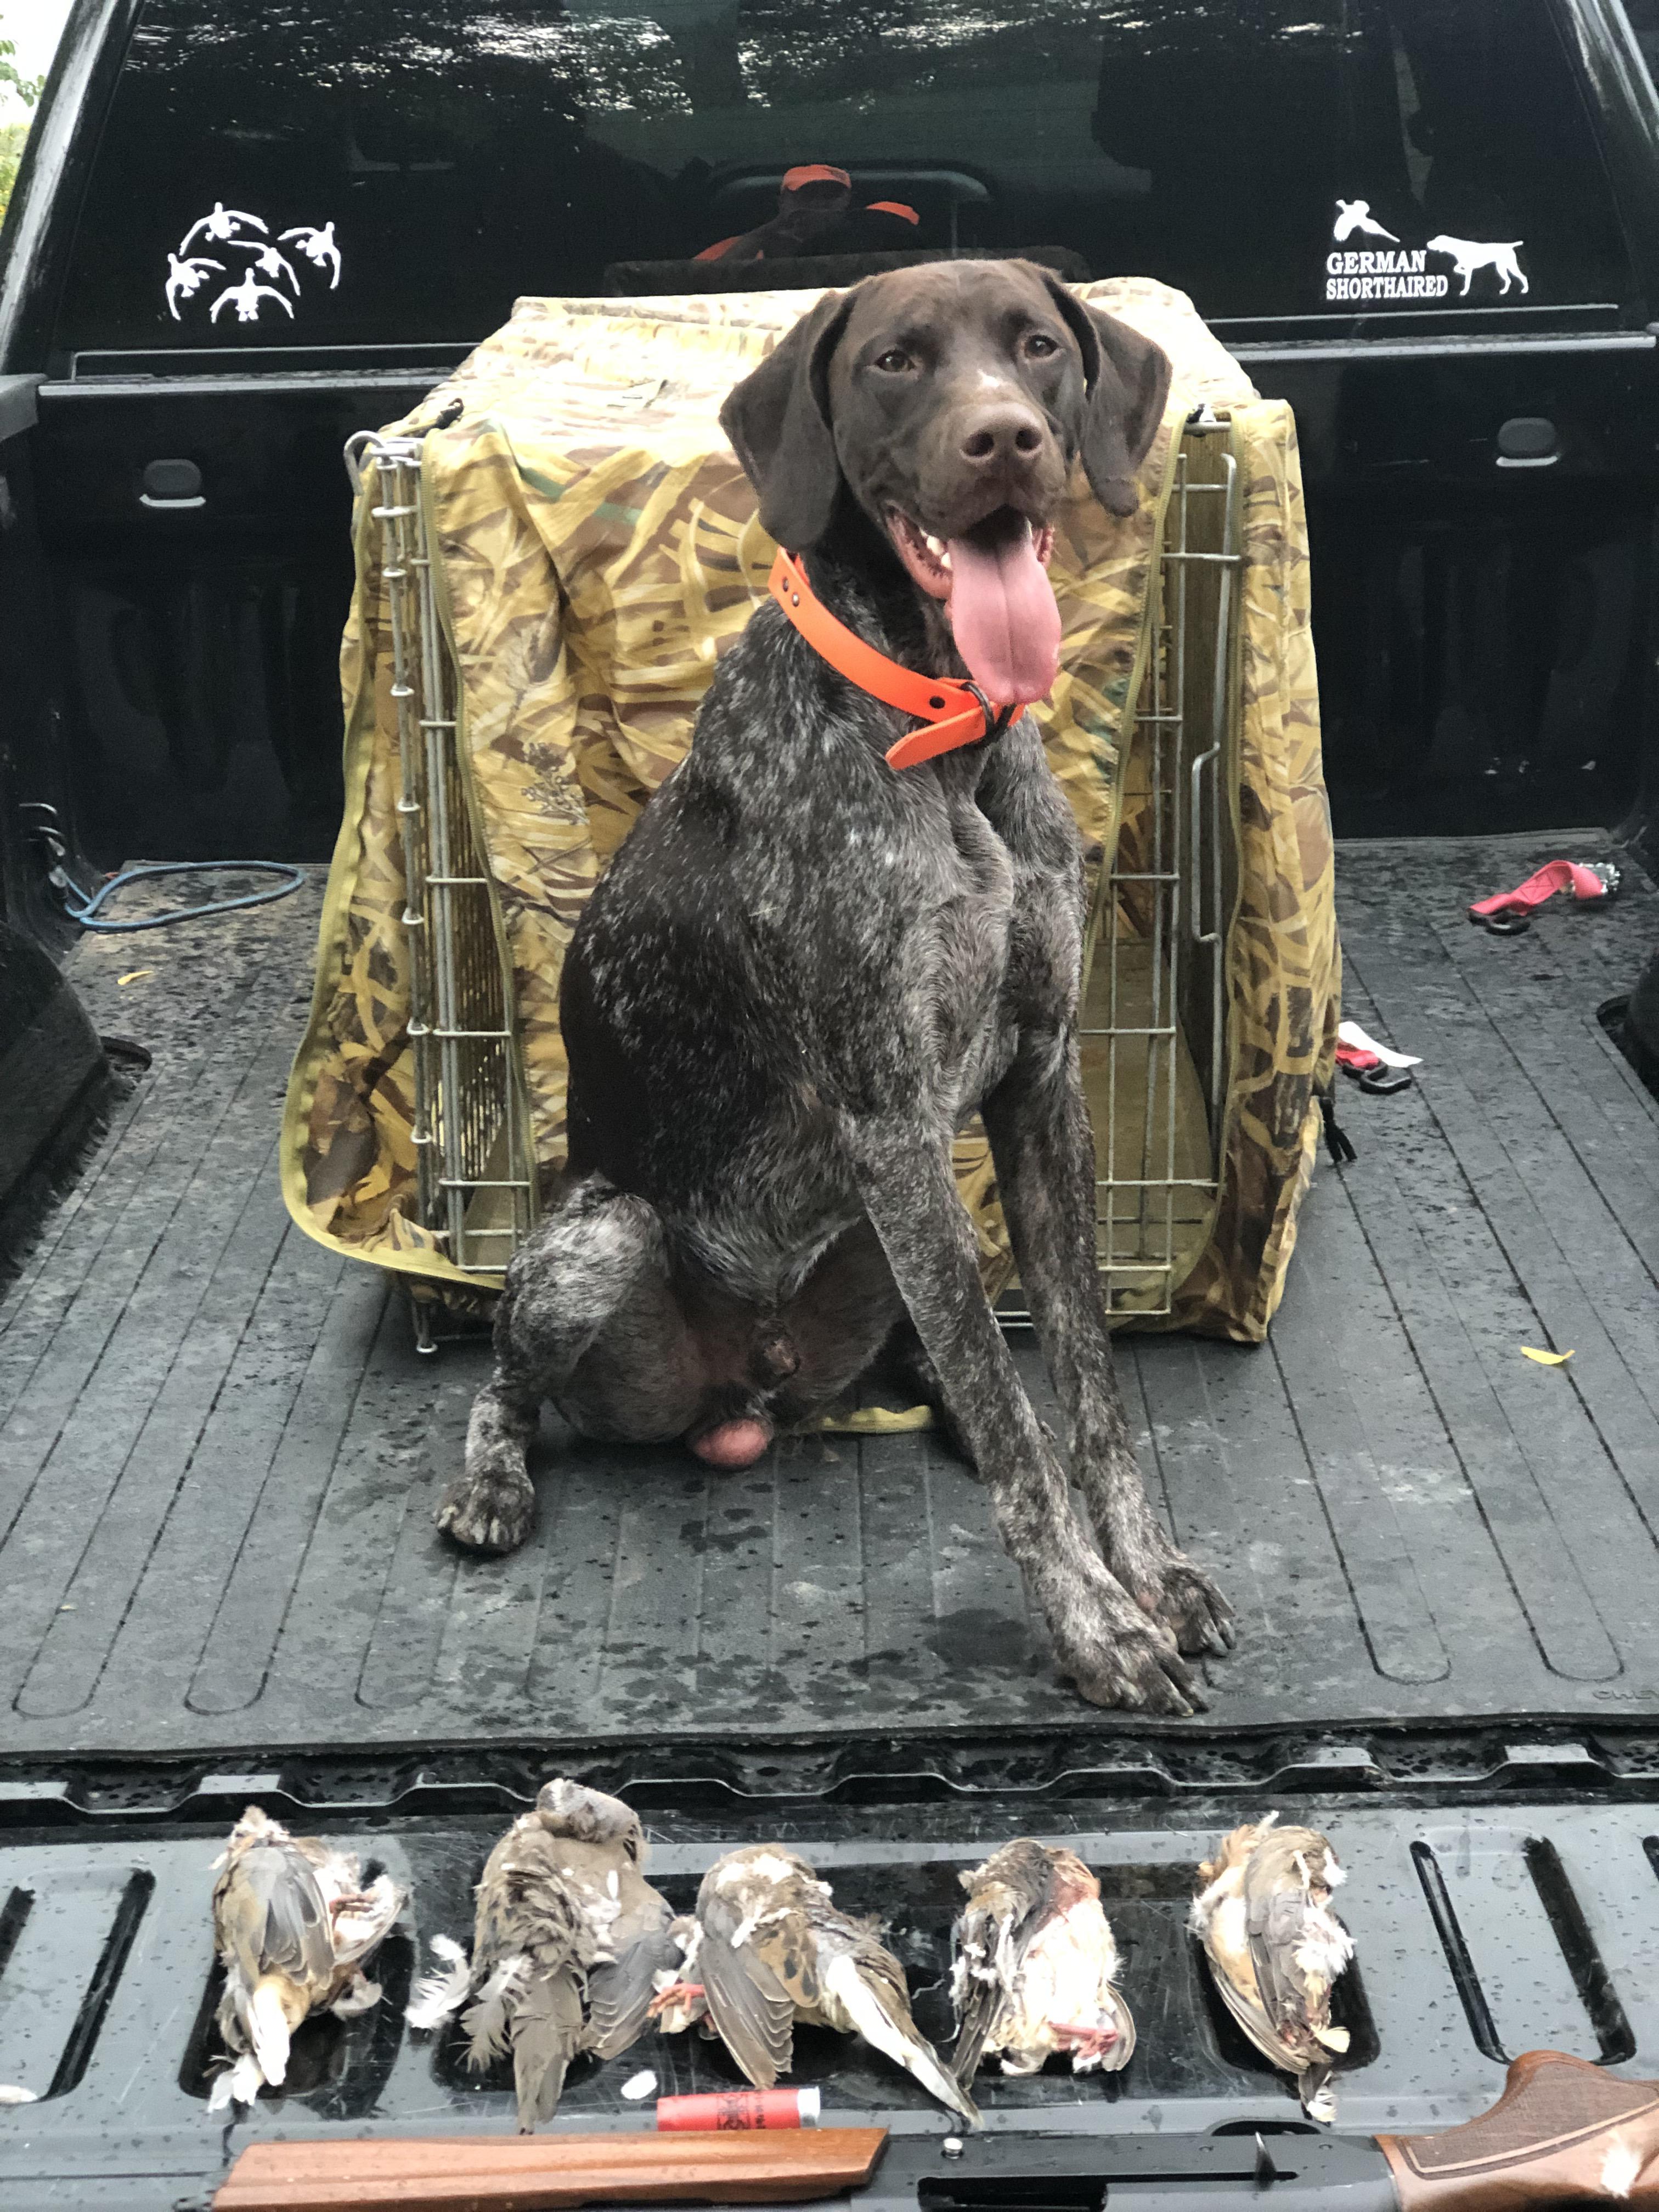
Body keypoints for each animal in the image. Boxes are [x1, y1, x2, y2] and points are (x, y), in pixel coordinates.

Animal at [442, 258, 1238, 1707]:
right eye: (895, 363)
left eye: (1038, 347)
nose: (1005, 440)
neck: (942, 732)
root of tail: (748, 1393)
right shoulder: (892, 1119)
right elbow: (1015, 1411)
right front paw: (1097, 1627)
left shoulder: (1039, 1086)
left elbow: (1082, 1386)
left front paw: (1146, 1573)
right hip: (602, 1241)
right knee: (505, 1380)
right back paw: (492, 1483)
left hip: (891, 1231)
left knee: (946, 1352)